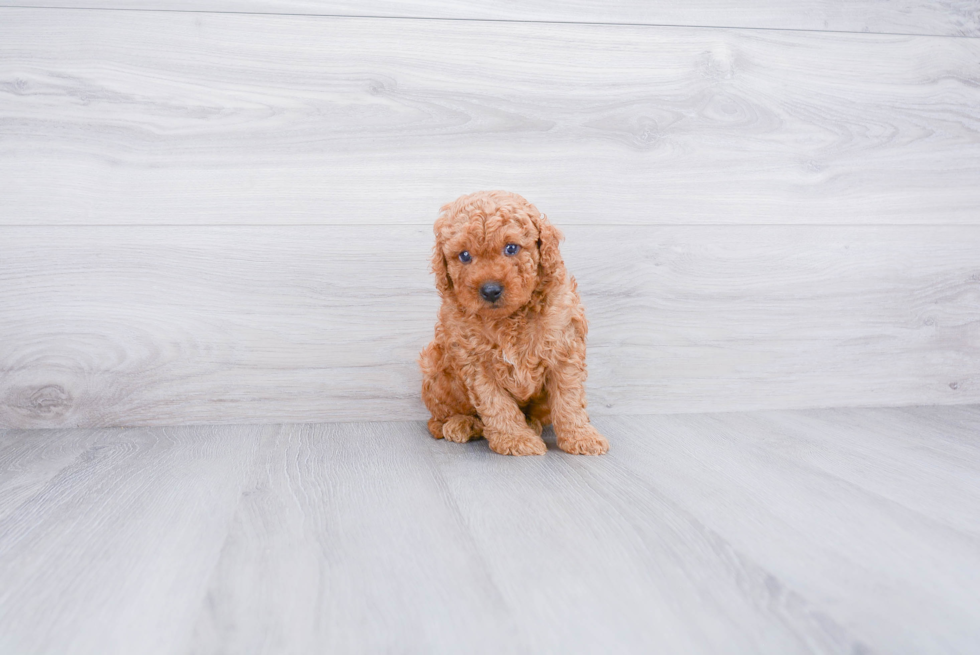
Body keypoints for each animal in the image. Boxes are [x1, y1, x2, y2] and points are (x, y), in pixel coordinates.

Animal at [420, 190, 608, 456]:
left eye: (511, 248)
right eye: (464, 255)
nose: (490, 290)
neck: (510, 318)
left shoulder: (565, 346)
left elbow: (569, 398)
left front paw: (581, 437)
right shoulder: (475, 361)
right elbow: (495, 402)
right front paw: (516, 439)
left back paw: (531, 423)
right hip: (434, 365)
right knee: (436, 420)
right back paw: (462, 424)